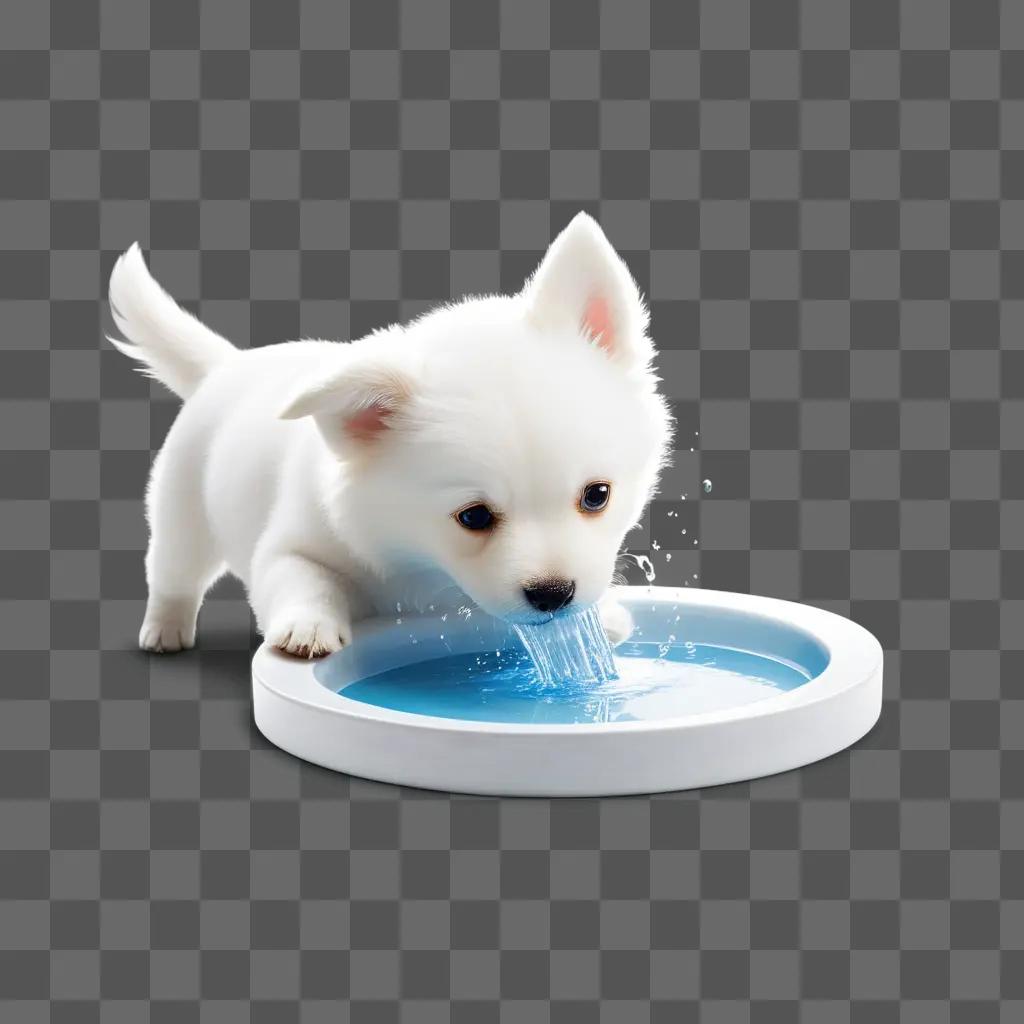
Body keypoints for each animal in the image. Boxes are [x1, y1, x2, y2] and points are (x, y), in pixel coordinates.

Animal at [110, 216, 671, 659]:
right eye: (474, 517)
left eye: (597, 496)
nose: (554, 594)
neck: (419, 565)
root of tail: (228, 363)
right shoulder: (293, 544)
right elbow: (300, 577)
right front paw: (307, 626)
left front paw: (607, 615)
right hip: (182, 508)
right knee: (173, 573)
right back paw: (165, 629)